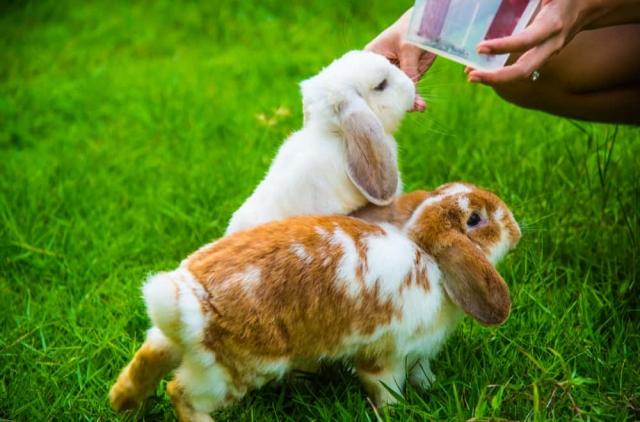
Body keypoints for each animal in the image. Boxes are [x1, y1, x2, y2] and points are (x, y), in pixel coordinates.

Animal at [109, 182, 521, 421]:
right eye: (475, 219)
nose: (516, 228)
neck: (430, 259)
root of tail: (185, 304)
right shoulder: (385, 356)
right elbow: (383, 387)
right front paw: (396, 411)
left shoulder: (418, 352)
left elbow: (422, 372)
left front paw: (430, 388)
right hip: (232, 372)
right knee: (181, 393)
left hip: (175, 346)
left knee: (147, 361)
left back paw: (124, 403)